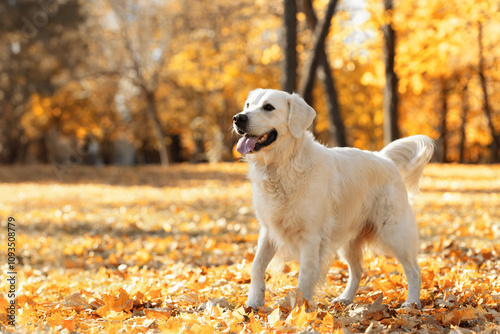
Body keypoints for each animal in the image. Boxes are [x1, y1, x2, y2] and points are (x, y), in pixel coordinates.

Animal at [234, 88, 434, 308]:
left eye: (268, 107)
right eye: (248, 105)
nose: (238, 118)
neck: (282, 166)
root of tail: (384, 158)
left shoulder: (310, 237)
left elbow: (305, 275)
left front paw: (299, 310)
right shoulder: (268, 230)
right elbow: (256, 266)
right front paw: (254, 302)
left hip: (395, 233)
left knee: (414, 270)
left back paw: (412, 303)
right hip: (349, 241)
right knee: (358, 270)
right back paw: (345, 298)